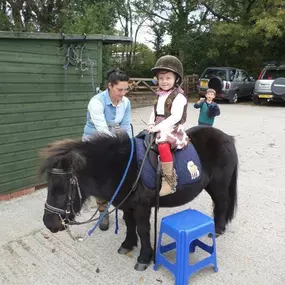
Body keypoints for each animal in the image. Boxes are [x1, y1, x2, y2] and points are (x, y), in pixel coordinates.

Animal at [40, 127, 237, 270]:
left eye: (61, 189)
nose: (49, 223)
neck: (123, 166)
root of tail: (227, 137)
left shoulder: (142, 207)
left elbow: (142, 230)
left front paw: (144, 257)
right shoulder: (128, 205)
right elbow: (130, 225)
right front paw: (127, 244)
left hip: (219, 185)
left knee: (223, 203)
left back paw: (218, 228)